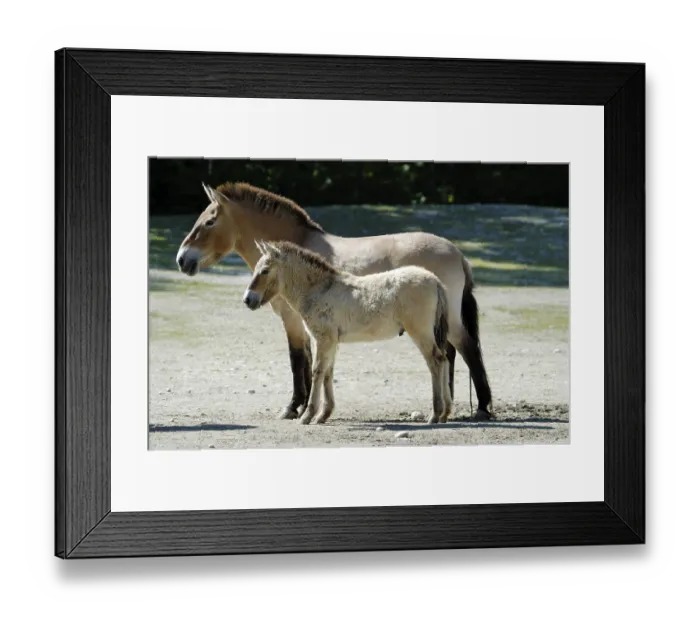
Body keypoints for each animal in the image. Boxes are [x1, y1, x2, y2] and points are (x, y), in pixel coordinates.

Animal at [244, 241, 452, 425]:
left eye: (265, 270)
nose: (247, 300)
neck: (319, 289)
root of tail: (434, 280)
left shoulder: (323, 339)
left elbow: (317, 371)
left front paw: (307, 416)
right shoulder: (331, 342)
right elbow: (328, 372)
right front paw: (323, 415)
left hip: (420, 332)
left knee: (435, 360)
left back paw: (435, 414)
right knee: (444, 359)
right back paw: (444, 413)